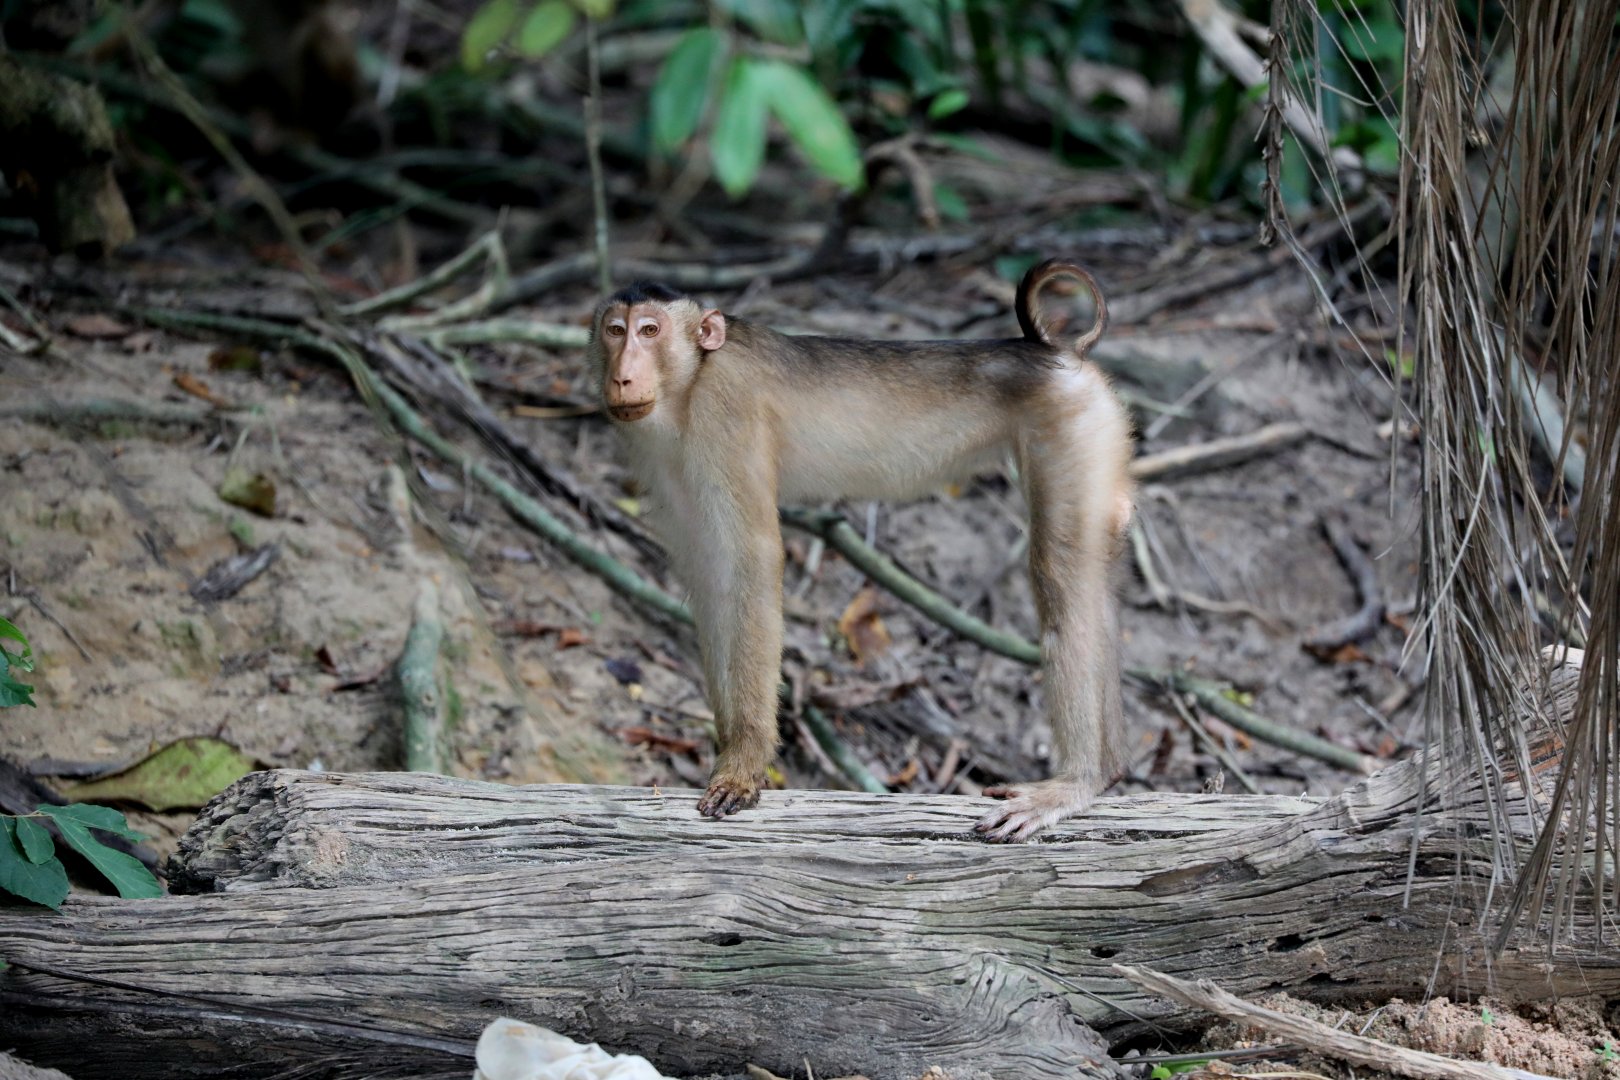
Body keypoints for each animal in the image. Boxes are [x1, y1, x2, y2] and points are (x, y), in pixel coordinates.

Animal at [587, 261, 1133, 842]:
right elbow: (710, 574)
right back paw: (1109, 773)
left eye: (650, 331)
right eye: (615, 331)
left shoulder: (726, 411)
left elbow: (748, 565)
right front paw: (729, 748)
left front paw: (743, 763)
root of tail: (1058, 357)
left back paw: (1078, 782)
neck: (690, 383)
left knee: (1060, 576)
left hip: (1070, 423)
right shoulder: (659, 454)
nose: (622, 375)